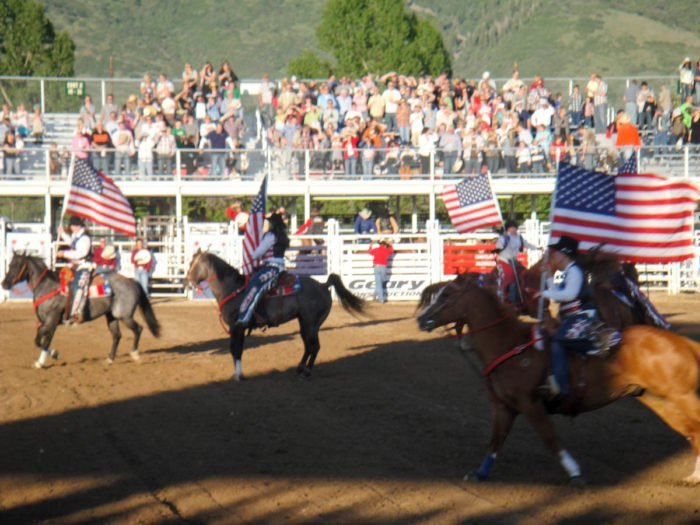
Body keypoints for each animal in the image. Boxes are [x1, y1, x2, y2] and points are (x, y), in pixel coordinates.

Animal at [1, 251, 160, 366]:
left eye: (16, 266)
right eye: (10, 265)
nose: (4, 284)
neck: (47, 287)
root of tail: (132, 282)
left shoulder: (51, 320)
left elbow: (39, 340)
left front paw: (49, 357)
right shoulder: (49, 322)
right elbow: (44, 341)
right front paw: (45, 359)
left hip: (124, 316)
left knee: (138, 329)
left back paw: (135, 354)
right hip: (111, 316)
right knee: (117, 335)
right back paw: (110, 359)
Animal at [185, 251, 366, 380]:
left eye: (193, 264)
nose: (186, 282)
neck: (233, 289)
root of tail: (323, 285)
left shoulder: (237, 327)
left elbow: (236, 350)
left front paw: (238, 375)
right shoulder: (238, 329)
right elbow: (236, 350)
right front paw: (237, 374)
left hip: (310, 324)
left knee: (314, 347)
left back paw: (306, 372)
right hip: (305, 324)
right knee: (309, 346)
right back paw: (299, 369)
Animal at [418, 274, 696, 484]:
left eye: (446, 295)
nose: (421, 319)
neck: (511, 345)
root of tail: (682, 341)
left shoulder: (531, 405)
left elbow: (550, 439)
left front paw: (575, 473)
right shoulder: (503, 407)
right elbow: (495, 441)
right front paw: (479, 474)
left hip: (681, 395)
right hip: (654, 397)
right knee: (692, 431)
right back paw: (694, 476)